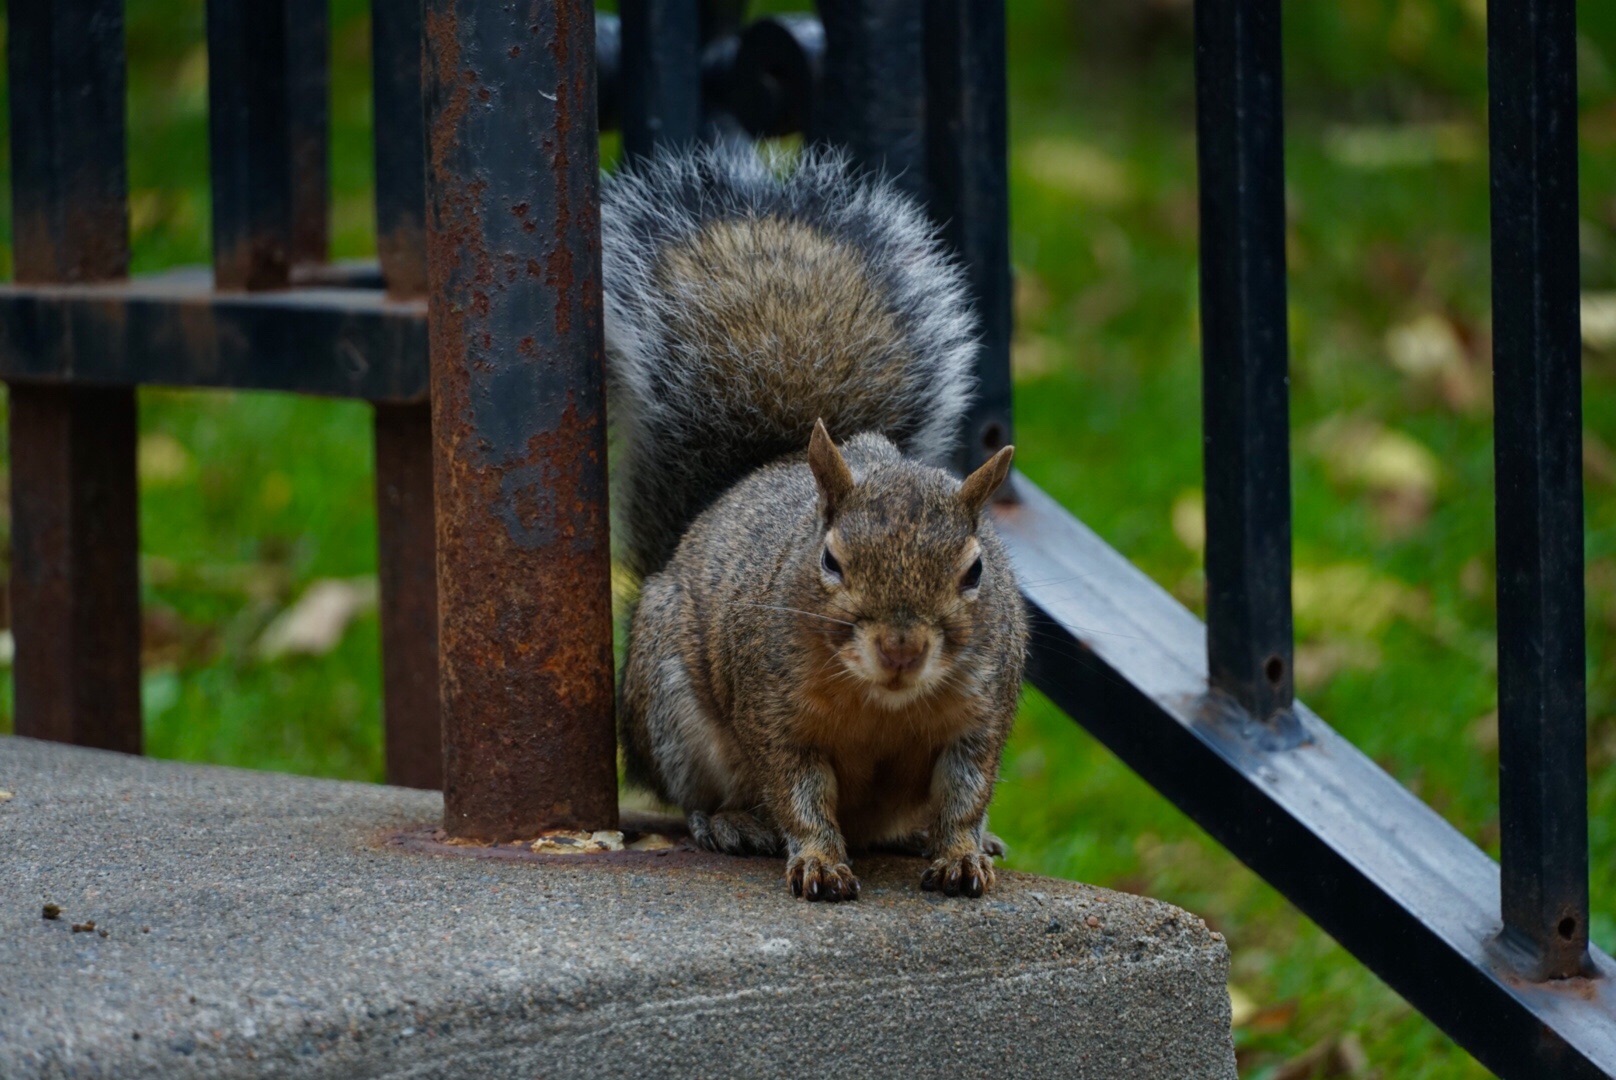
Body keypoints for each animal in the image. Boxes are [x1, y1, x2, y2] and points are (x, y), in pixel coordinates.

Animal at [601, 145, 1027, 905]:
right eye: (829, 561)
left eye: (976, 570)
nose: (900, 648)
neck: (884, 703)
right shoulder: (774, 712)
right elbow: (798, 792)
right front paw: (820, 861)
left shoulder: (980, 713)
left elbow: (966, 791)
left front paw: (960, 851)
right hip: (673, 712)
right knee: (698, 795)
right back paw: (733, 822)